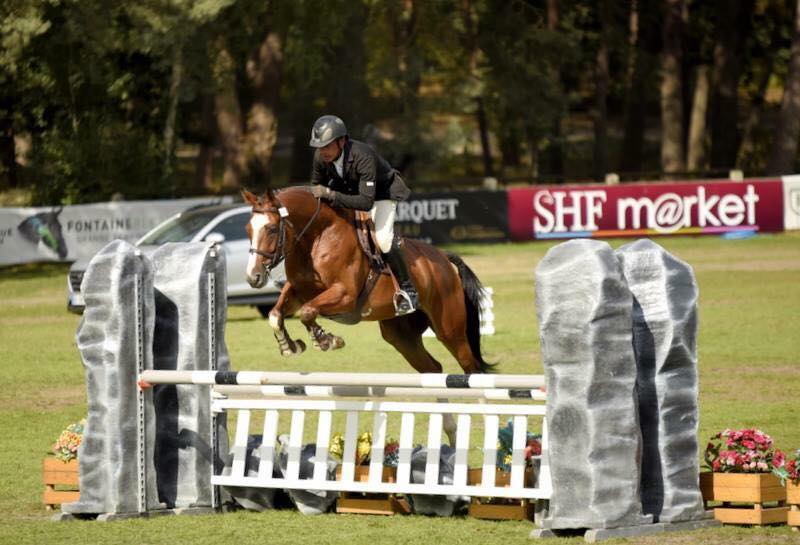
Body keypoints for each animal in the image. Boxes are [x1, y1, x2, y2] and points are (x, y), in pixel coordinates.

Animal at [241, 185, 490, 376]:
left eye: (272, 229)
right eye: (248, 229)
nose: (253, 277)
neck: (317, 238)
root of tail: (443, 258)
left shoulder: (345, 295)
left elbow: (308, 312)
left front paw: (327, 340)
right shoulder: (298, 291)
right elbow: (276, 315)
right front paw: (290, 346)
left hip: (449, 329)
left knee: (471, 367)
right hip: (401, 335)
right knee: (433, 368)